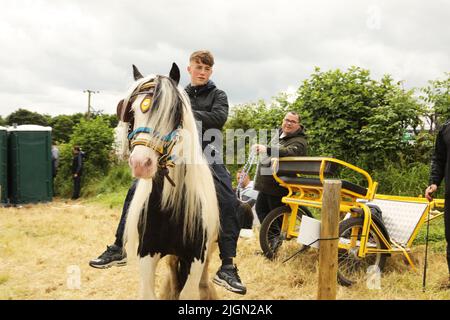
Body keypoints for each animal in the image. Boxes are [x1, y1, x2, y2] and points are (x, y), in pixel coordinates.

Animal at [117, 63, 221, 300]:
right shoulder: (147, 256)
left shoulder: (196, 259)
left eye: (173, 111)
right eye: (132, 112)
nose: (141, 163)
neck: (169, 205)